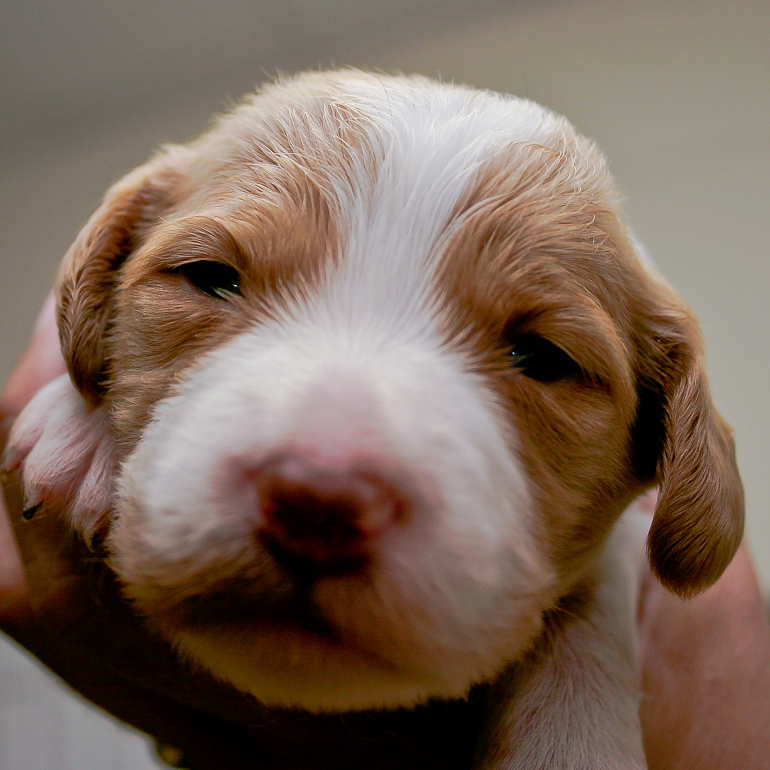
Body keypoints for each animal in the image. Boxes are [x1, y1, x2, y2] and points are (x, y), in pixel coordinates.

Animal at [3, 70, 740, 760]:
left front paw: (573, 739)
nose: (318, 506)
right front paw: (81, 436)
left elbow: (590, 608)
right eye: (208, 277)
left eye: (542, 357)